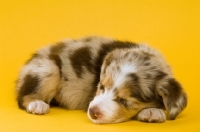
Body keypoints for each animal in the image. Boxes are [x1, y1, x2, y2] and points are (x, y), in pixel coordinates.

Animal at [15, 36, 188, 124]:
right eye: (102, 86)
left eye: (125, 100)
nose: (92, 112)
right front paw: (152, 111)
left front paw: (152, 110)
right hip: (48, 68)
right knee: (23, 96)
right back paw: (37, 104)